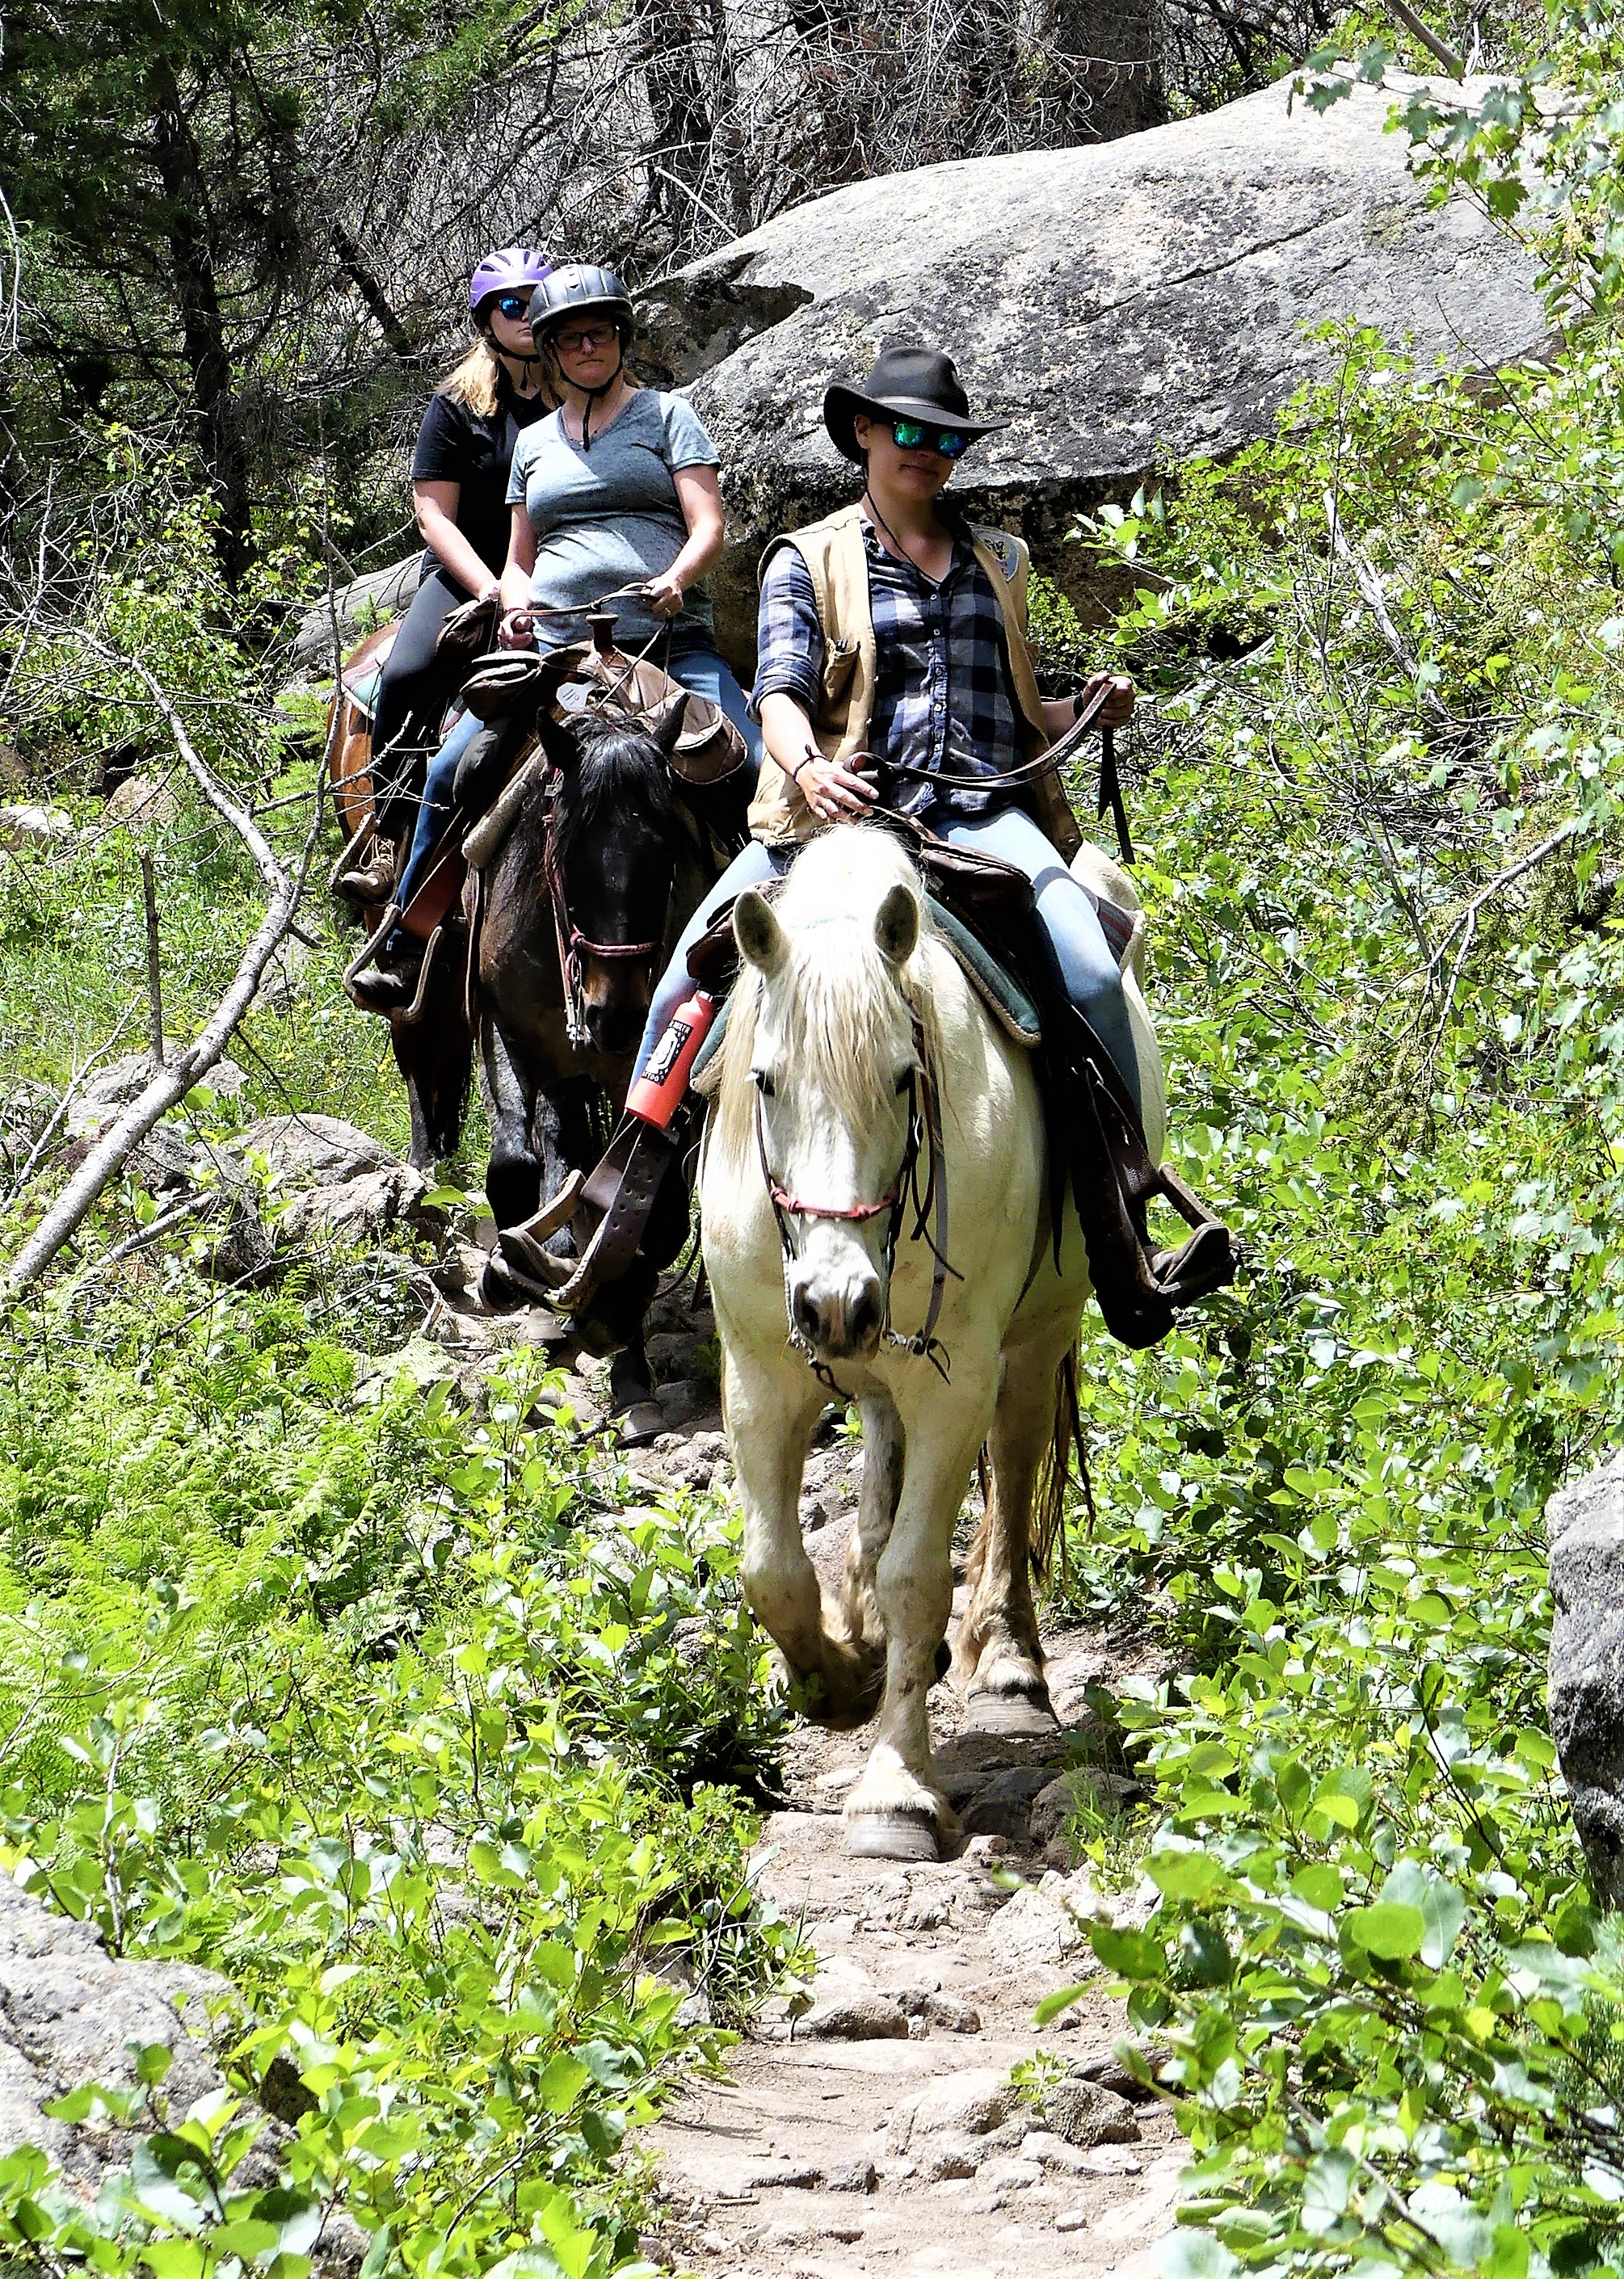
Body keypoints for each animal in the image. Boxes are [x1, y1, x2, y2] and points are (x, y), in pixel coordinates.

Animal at [475, 699, 719, 1433]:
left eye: (665, 850)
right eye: (568, 852)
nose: (617, 1017)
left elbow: (653, 1214)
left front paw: (619, 1337)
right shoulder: (503, 1026)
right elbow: (516, 1163)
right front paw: (510, 1276)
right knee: (560, 1143)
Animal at [698, 824, 1165, 1862]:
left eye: (904, 1078)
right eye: (765, 1081)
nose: (832, 1303)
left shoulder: (955, 1382)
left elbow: (919, 1575)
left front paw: (896, 1791)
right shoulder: (760, 1377)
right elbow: (772, 1571)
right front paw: (836, 1677)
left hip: (1037, 1334)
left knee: (1016, 1461)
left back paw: (1008, 1660)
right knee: (880, 1457)